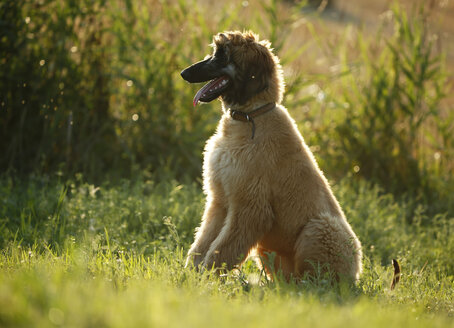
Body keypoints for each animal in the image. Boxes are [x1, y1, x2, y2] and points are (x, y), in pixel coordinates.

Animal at [181, 31, 362, 282]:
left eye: (221, 55)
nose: (184, 73)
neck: (250, 116)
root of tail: (356, 273)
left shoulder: (251, 206)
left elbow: (223, 249)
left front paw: (206, 279)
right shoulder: (221, 200)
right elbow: (203, 242)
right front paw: (190, 276)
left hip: (320, 228)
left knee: (318, 280)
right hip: (268, 249)